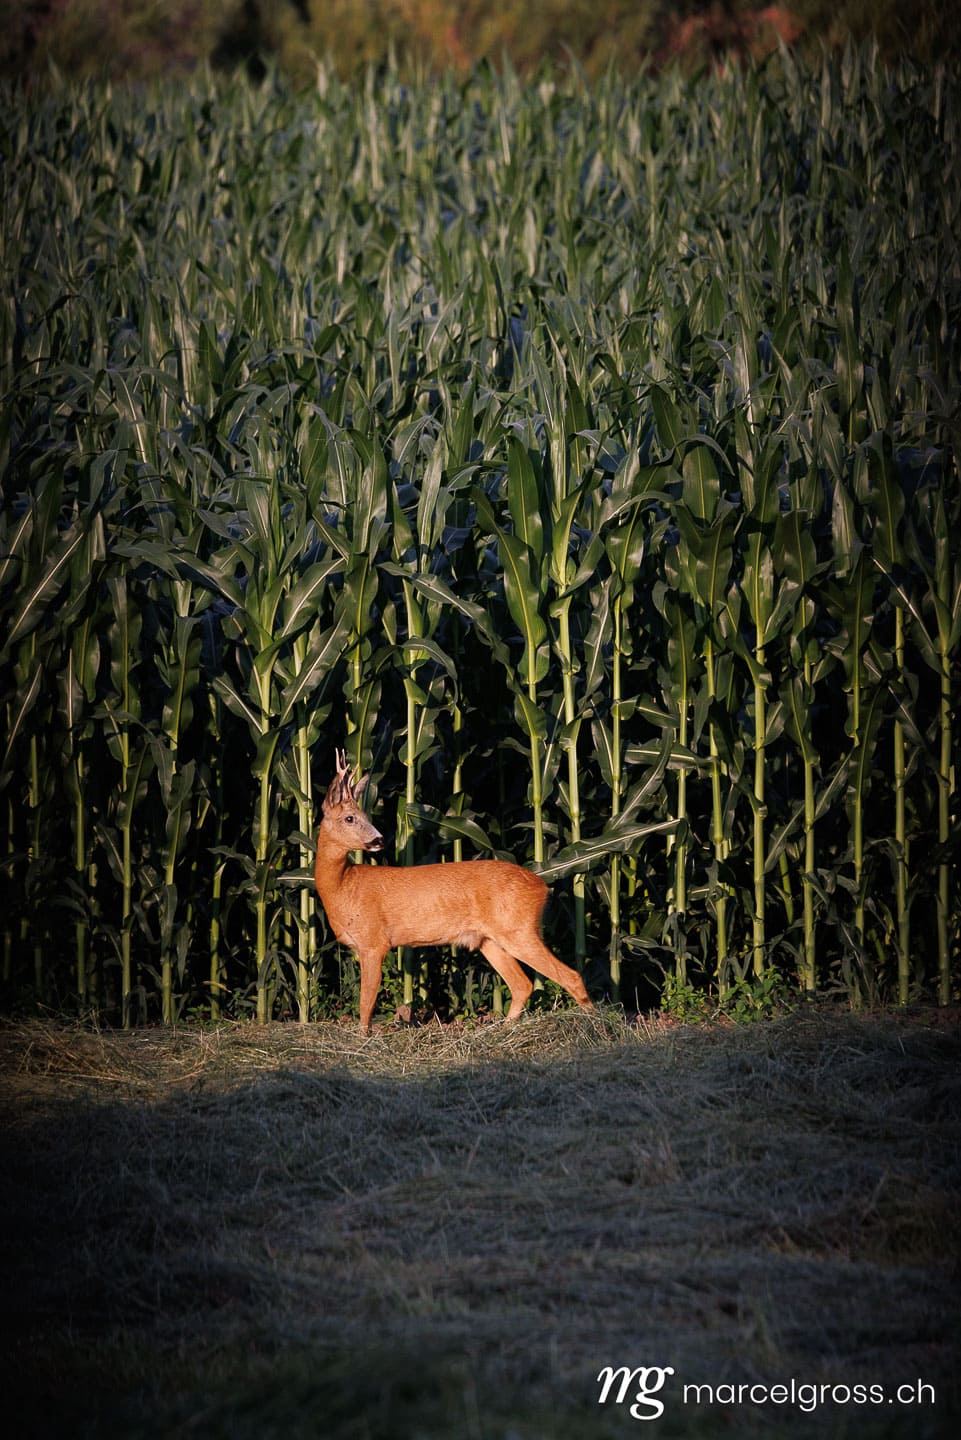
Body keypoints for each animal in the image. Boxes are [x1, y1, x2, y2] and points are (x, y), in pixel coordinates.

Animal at [314, 750, 593, 1034]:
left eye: (366, 817)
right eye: (350, 818)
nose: (379, 839)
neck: (342, 887)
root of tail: (542, 885)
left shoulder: (374, 942)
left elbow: (366, 1003)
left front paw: (364, 1038)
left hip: (519, 929)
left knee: (570, 975)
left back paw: (594, 1025)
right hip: (489, 939)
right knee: (522, 984)